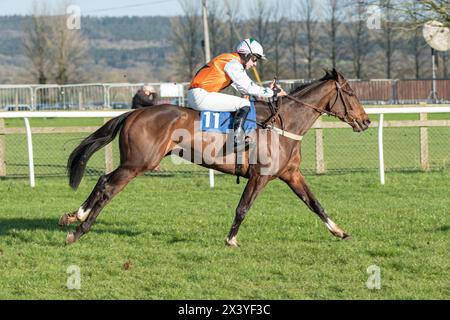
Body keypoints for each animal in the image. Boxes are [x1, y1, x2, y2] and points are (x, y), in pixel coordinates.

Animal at [59, 69, 370, 245]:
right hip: (138, 163)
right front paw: (231, 239)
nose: (366, 121)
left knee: (103, 180)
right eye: (350, 92)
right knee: (109, 187)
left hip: (135, 162)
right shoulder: (261, 176)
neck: (284, 124)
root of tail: (134, 113)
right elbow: (243, 207)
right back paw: (79, 229)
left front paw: (340, 232)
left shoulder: (290, 174)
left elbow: (315, 203)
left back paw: (74, 215)